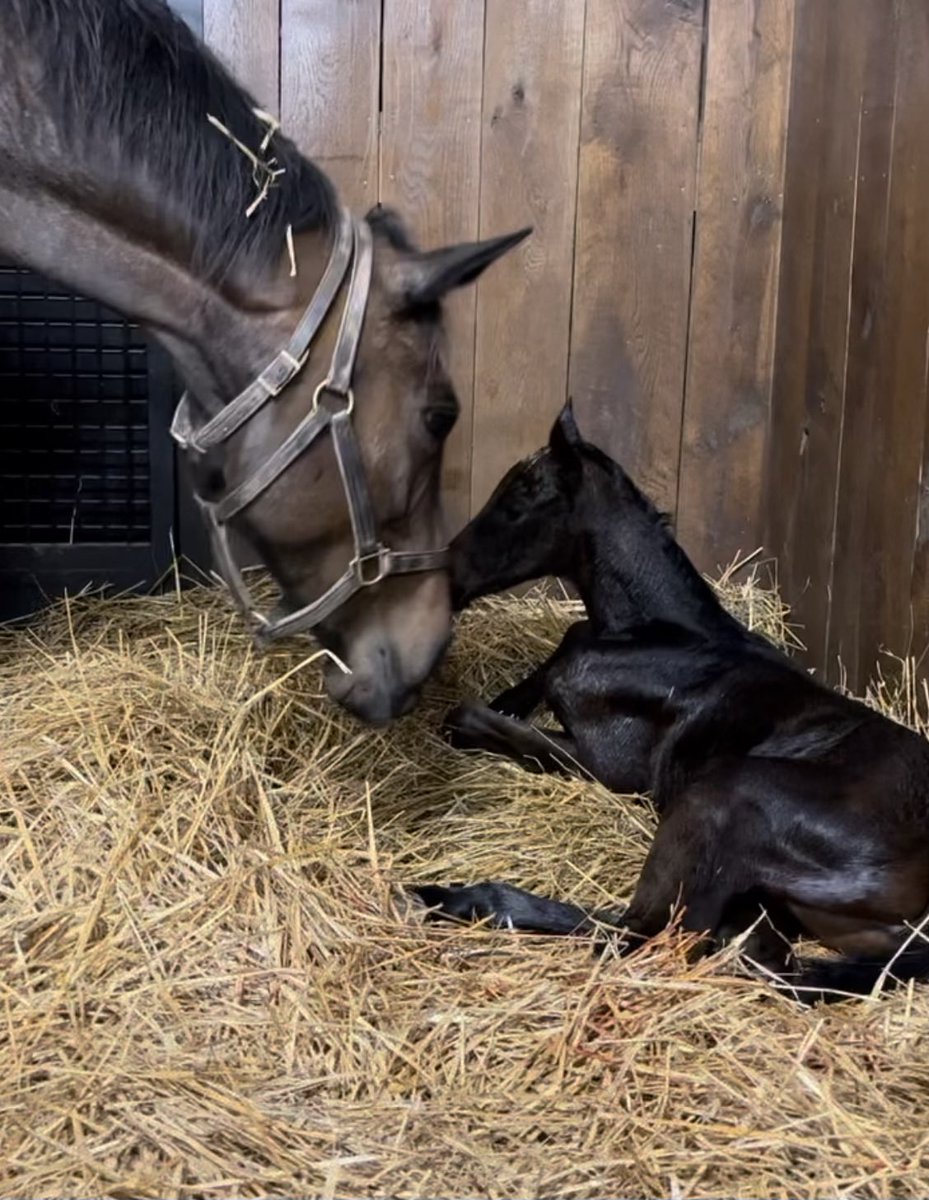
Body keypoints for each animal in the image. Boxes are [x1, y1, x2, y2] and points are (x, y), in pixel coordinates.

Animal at [413, 403, 929, 1002]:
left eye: (517, 501)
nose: (443, 581)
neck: (659, 634)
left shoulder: (614, 766)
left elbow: (469, 715)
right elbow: (537, 671)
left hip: (720, 796)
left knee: (646, 934)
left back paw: (456, 897)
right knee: (757, 951)